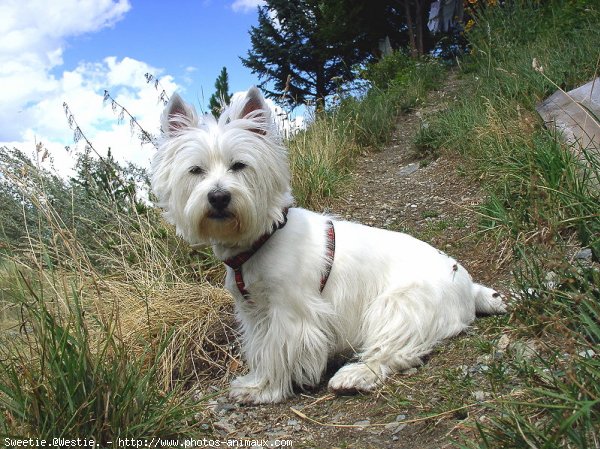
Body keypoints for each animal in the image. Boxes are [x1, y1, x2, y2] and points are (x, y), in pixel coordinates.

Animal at [151, 86, 506, 402]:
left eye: (239, 165)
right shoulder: (254, 312)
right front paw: (256, 383)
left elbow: (277, 351)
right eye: (195, 170)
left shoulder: (290, 312)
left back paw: (353, 376)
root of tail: (469, 285)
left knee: (394, 350)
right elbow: (262, 349)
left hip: (399, 306)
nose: (219, 197)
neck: (263, 238)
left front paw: (265, 390)